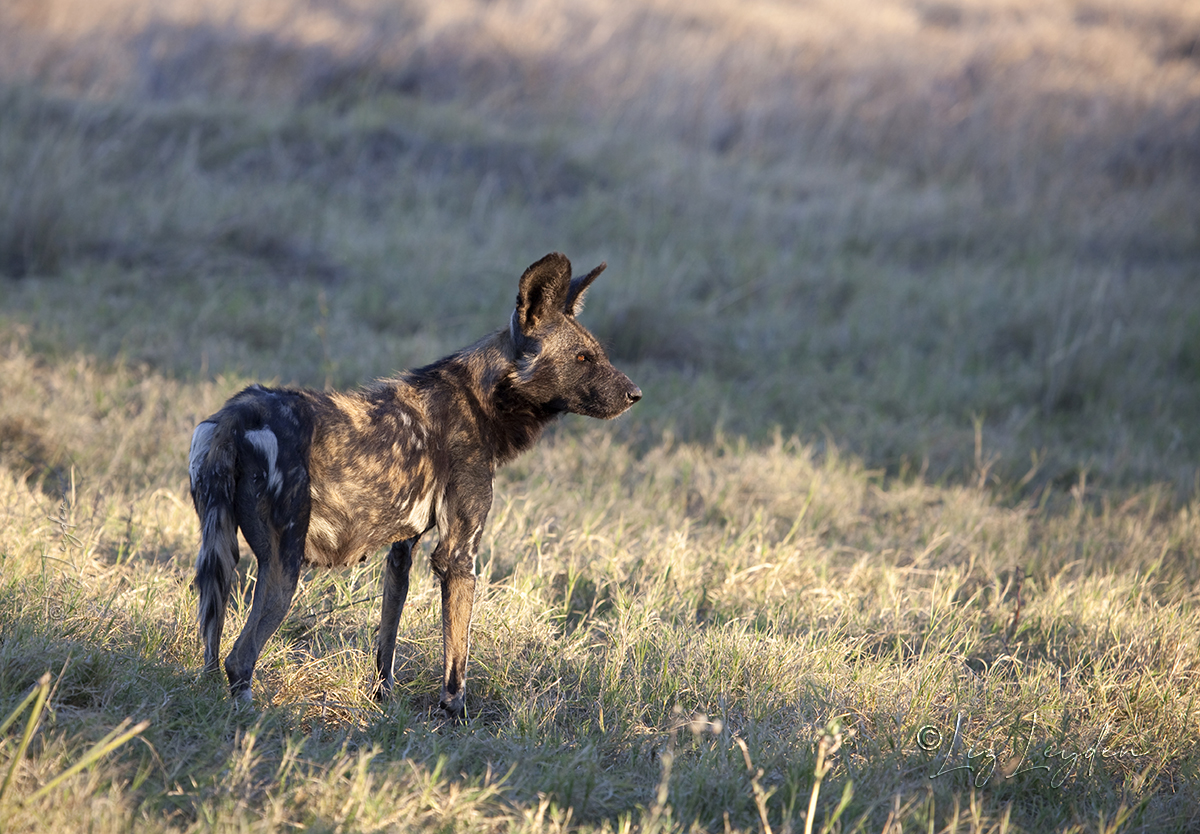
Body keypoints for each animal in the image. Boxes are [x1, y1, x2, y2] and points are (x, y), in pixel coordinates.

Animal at [188, 253, 643, 720]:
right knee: (239, 658)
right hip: (284, 567)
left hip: (222, 559)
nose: (635, 394)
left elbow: (386, 642)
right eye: (583, 357)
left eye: (599, 354)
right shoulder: (458, 556)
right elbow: (456, 660)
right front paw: (454, 716)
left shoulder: (400, 551)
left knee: (212, 655)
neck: (484, 398)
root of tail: (235, 414)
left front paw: (382, 700)